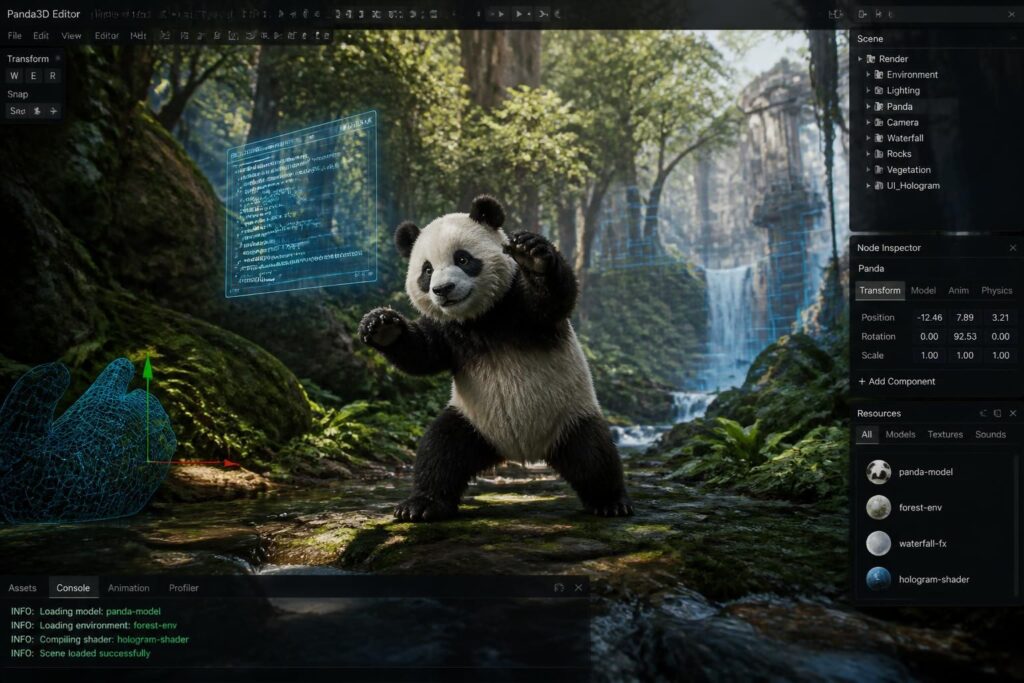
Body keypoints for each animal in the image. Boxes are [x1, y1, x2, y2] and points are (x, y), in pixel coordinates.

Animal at [359, 195, 633, 522]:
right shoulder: (449, 332)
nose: (443, 290)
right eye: (427, 270)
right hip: (472, 421)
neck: (480, 319)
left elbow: (554, 299)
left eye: (463, 259)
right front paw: (382, 326)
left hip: (570, 415)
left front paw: (533, 254)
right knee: (439, 452)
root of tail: (523, 452)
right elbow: (422, 356)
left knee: (593, 456)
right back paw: (422, 505)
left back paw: (610, 502)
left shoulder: (518, 308)